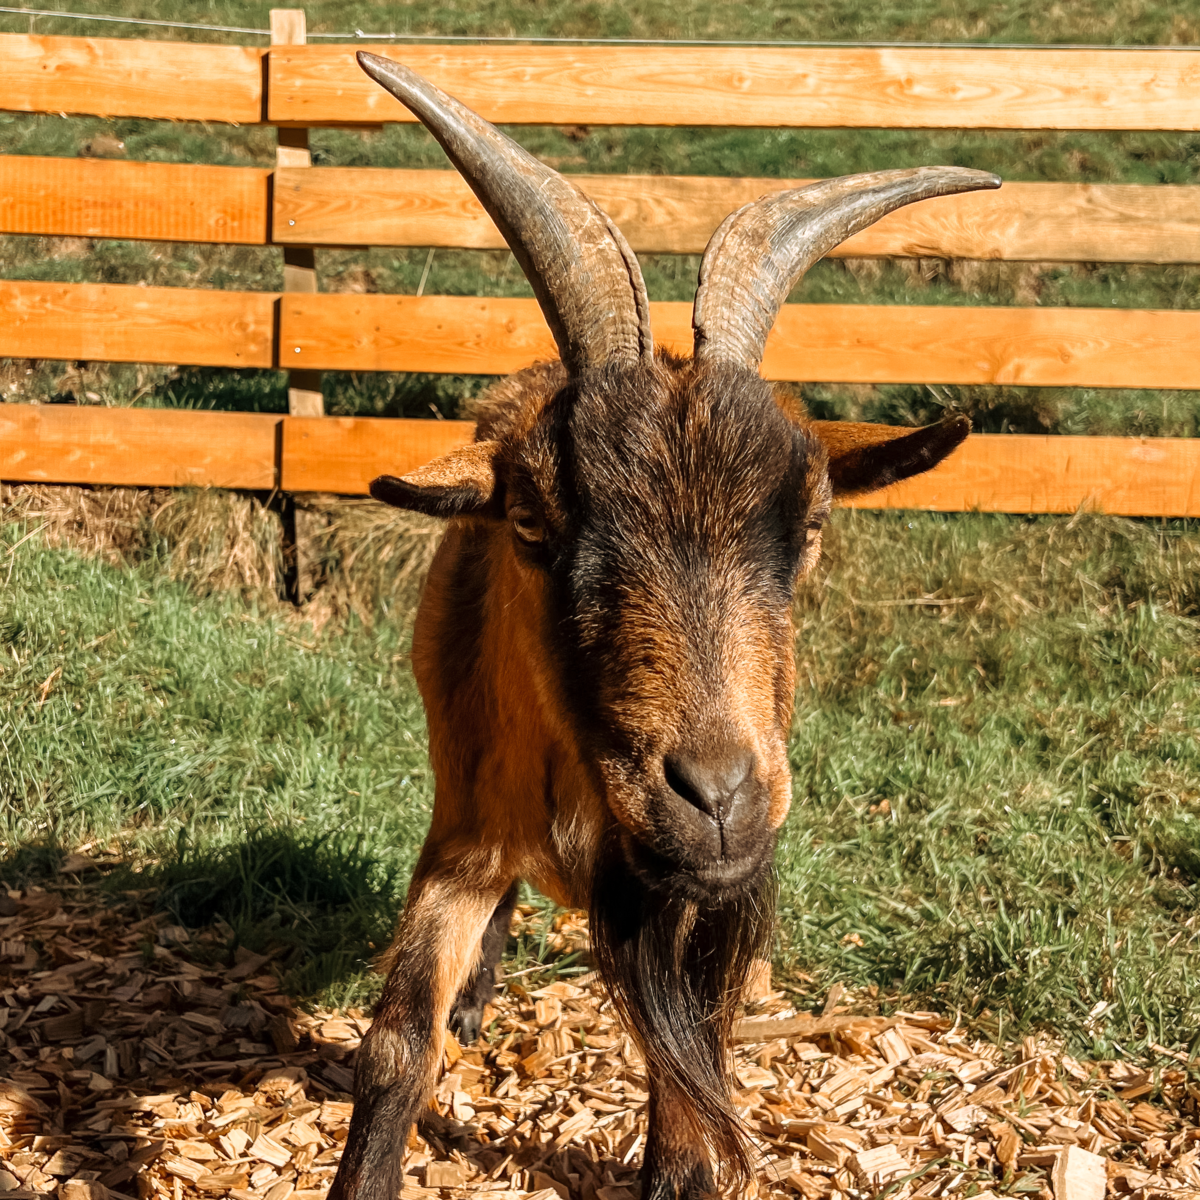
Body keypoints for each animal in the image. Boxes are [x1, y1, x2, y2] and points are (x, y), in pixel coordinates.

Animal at [331, 51, 1003, 1200]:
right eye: (529, 519)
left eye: (811, 521)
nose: (717, 797)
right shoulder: (465, 833)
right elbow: (396, 1040)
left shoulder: (687, 896)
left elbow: (688, 1083)